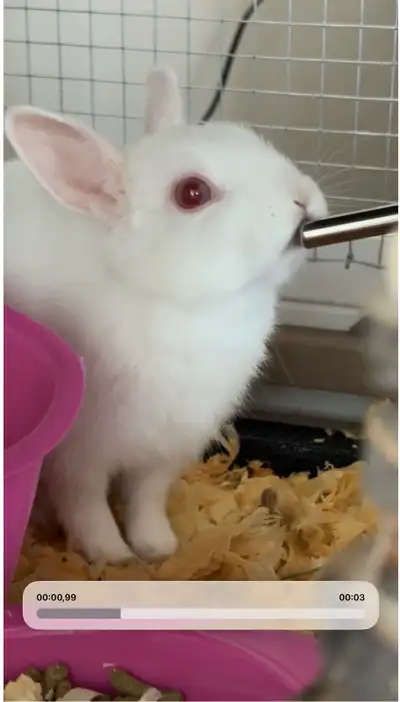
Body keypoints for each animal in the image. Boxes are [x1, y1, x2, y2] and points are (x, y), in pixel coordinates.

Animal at [4, 66, 328, 564]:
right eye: (192, 193)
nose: (302, 199)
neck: (180, 302)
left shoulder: (164, 452)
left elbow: (146, 498)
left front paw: (157, 549)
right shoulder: (79, 456)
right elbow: (86, 505)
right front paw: (112, 557)